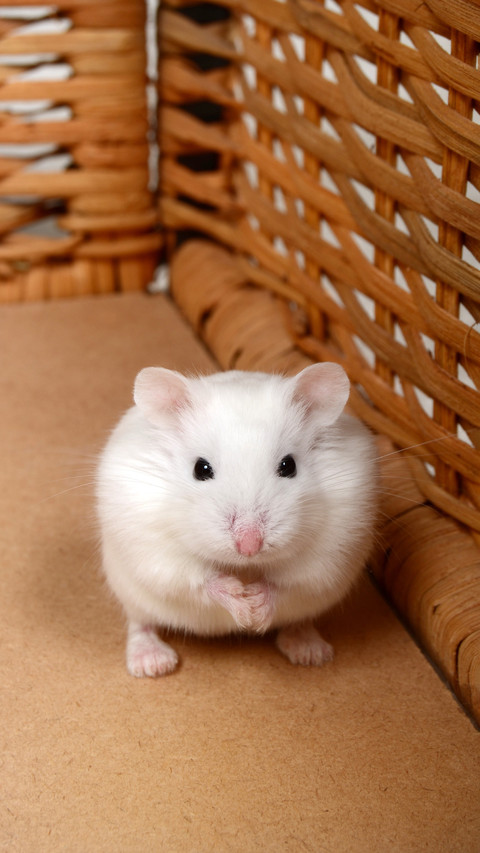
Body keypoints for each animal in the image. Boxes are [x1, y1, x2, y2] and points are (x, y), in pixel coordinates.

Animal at [96, 363, 378, 677]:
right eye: (201, 469)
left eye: (288, 466)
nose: (249, 546)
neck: (244, 566)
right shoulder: (154, 548)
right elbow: (197, 579)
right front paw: (242, 605)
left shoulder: (333, 548)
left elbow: (290, 582)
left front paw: (254, 605)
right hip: (131, 593)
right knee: (140, 623)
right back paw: (154, 665)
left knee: (298, 621)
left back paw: (311, 652)